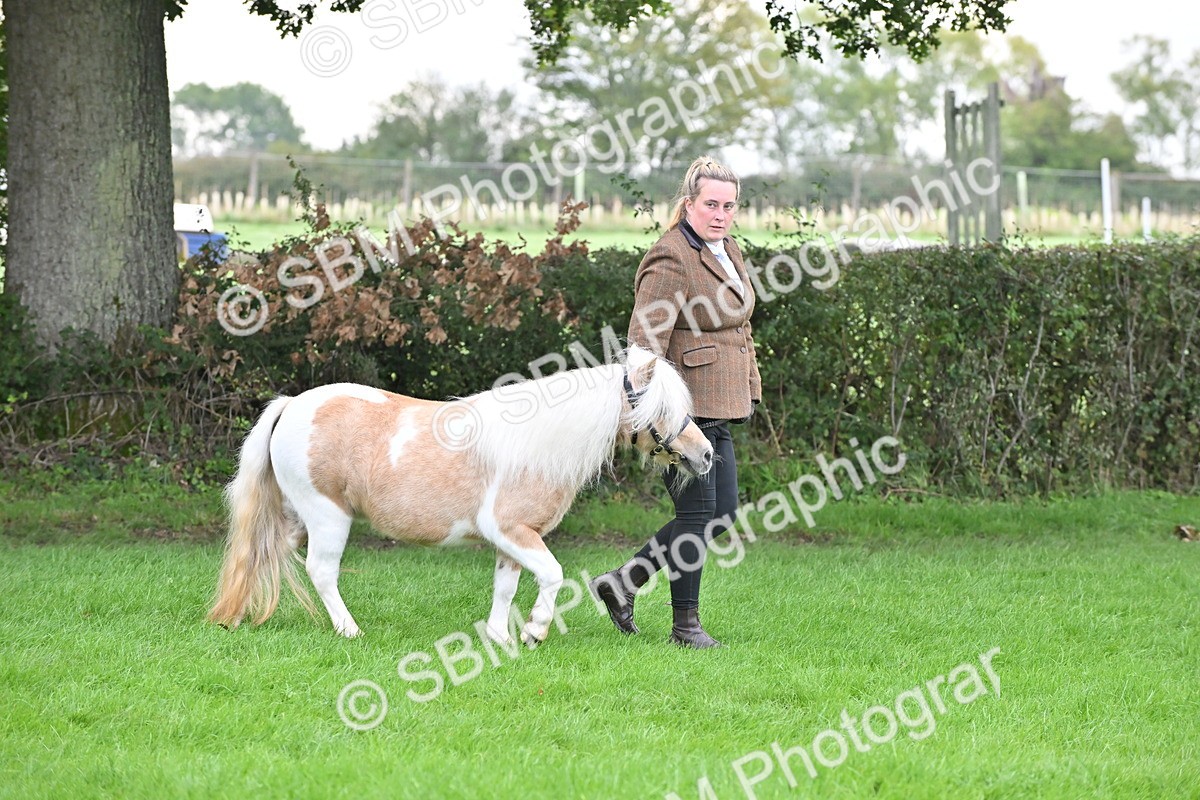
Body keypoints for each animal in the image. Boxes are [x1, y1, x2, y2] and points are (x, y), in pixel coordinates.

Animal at [207, 344, 713, 646]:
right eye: (662, 409)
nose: (706, 454)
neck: (536, 443)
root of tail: (293, 404)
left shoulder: (513, 541)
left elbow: (505, 587)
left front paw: (500, 637)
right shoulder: (510, 530)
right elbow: (552, 575)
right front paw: (534, 631)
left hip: (295, 517)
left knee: (262, 553)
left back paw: (236, 616)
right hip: (328, 517)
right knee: (321, 571)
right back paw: (349, 629)